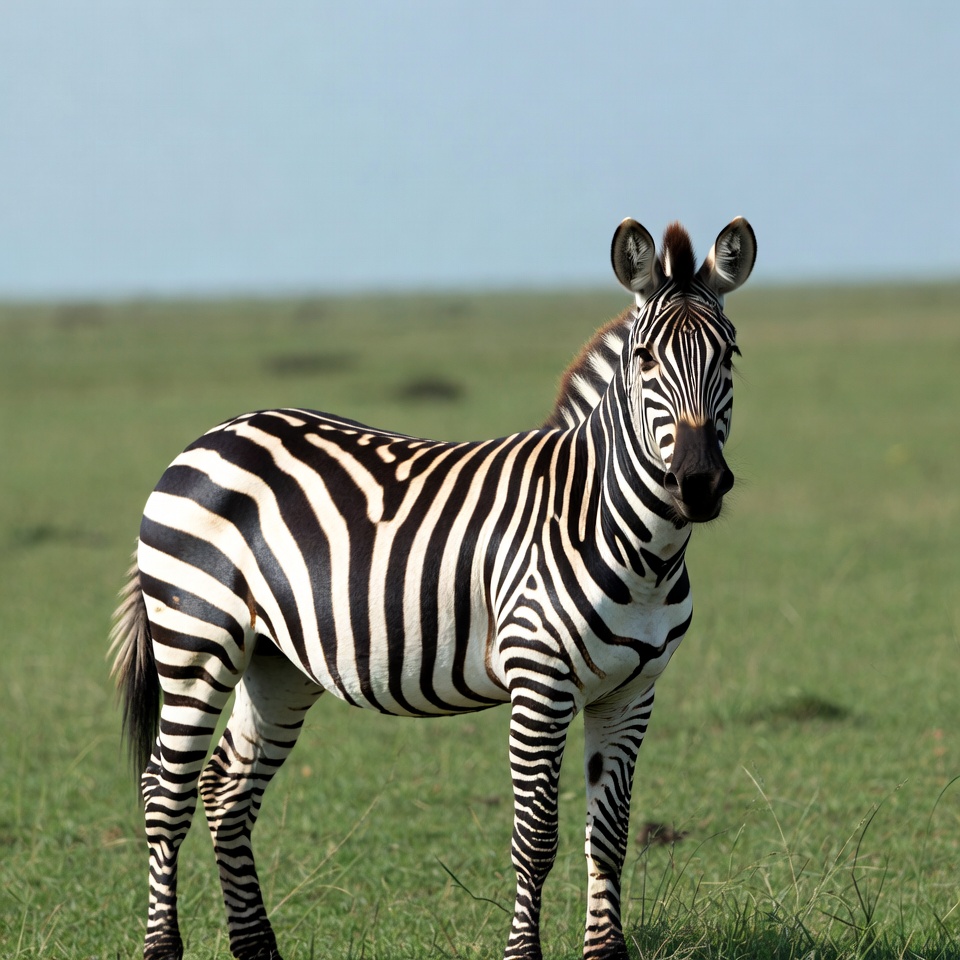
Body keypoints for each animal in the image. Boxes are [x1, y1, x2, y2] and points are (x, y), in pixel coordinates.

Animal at [111, 215, 756, 960]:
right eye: (646, 358)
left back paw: (257, 948)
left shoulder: (632, 692)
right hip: (196, 639)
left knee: (225, 790)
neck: (631, 541)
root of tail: (210, 436)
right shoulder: (541, 682)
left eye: (730, 355)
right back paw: (163, 947)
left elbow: (612, 837)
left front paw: (605, 952)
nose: (699, 483)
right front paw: (522, 954)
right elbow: (536, 838)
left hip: (276, 663)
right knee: (165, 793)